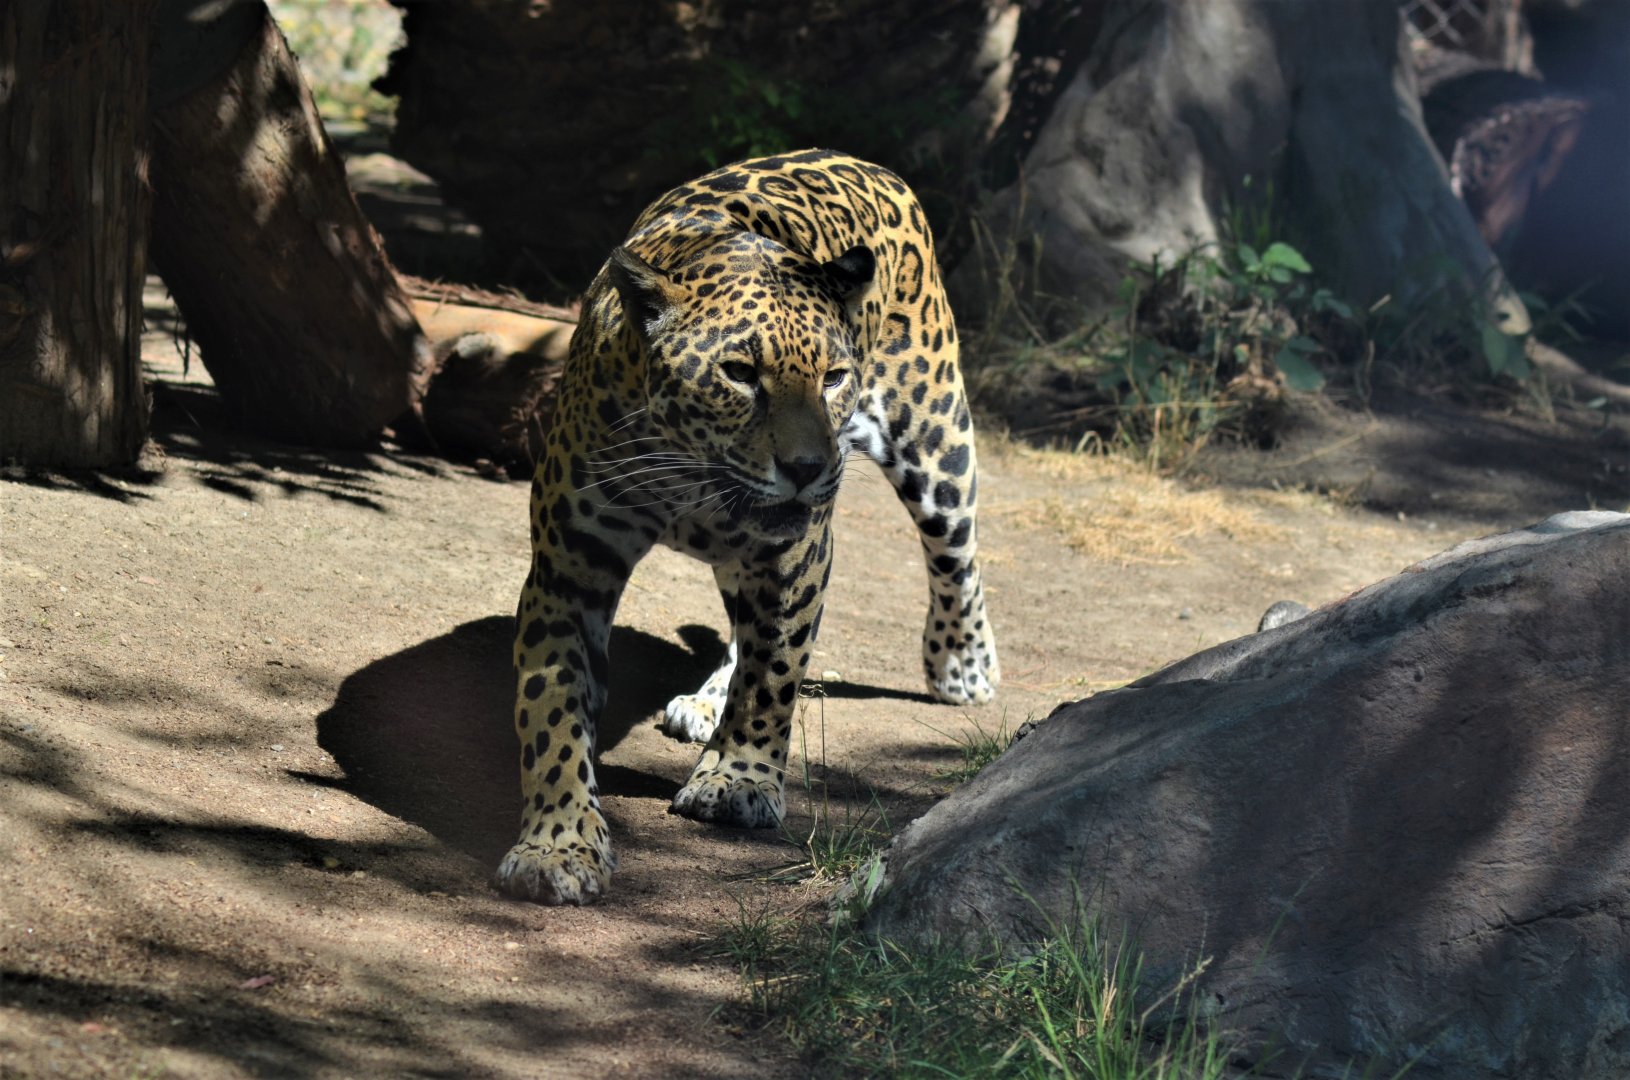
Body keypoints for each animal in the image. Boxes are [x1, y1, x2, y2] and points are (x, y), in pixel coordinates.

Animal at [495, 149, 999, 905]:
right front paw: (557, 843)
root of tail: (867, 163)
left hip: (936, 436)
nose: (809, 466)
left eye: (834, 377)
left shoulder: (795, 557)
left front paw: (736, 781)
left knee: (956, 555)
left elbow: (774, 672)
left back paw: (963, 666)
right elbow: (551, 708)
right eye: (739, 373)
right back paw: (706, 700)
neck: (688, 474)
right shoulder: (569, 567)